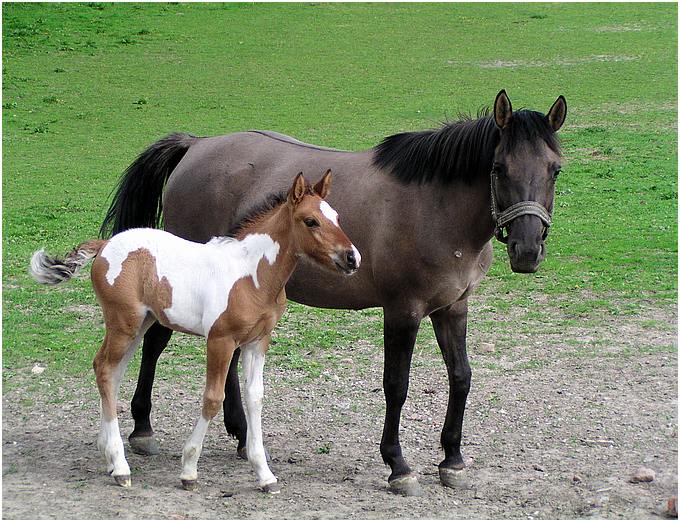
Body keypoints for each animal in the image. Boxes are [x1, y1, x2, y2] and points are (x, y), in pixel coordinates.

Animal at [30, 171, 362, 492]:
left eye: (336, 217)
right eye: (310, 221)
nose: (352, 258)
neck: (252, 274)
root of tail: (104, 246)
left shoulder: (257, 342)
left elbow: (255, 398)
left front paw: (264, 475)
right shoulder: (221, 341)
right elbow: (213, 399)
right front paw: (189, 470)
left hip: (139, 324)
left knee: (111, 372)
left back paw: (111, 458)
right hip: (123, 323)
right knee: (105, 369)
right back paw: (121, 467)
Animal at [101, 89, 564, 492]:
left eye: (554, 169)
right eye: (499, 168)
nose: (527, 249)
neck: (435, 207)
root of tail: (196, 145)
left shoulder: (453, 307)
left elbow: (461, 377)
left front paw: (452, 460)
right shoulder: (403, 310)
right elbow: (397, 384)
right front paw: (398, 465)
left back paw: (239, 432)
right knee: (155, 343)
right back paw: (142, 430)